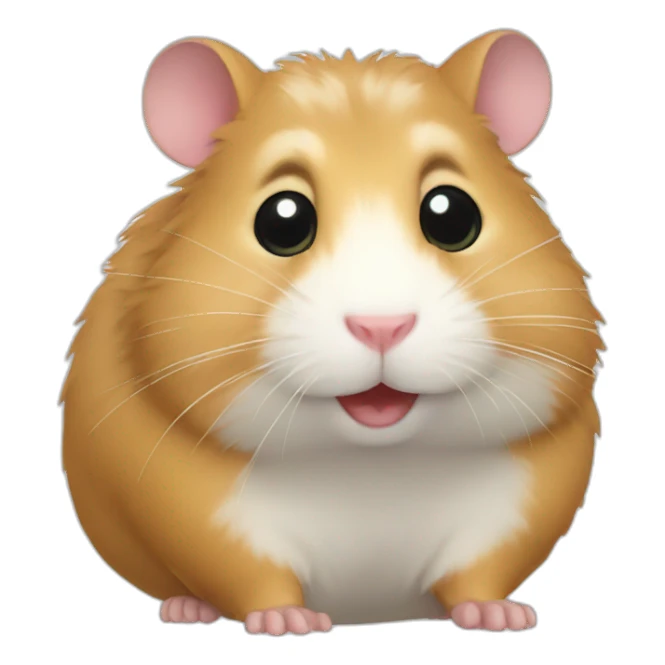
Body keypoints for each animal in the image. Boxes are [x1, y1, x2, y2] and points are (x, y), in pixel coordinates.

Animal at [62, 30, 603, 635]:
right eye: (283, 220)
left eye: (452, 214)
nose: (382, 326)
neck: (369, 470)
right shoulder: (198, 514)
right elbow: (249, 576)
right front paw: (285, 623)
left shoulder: (519, 509)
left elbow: (478, 573)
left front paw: (501, 617)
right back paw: (188, 610)